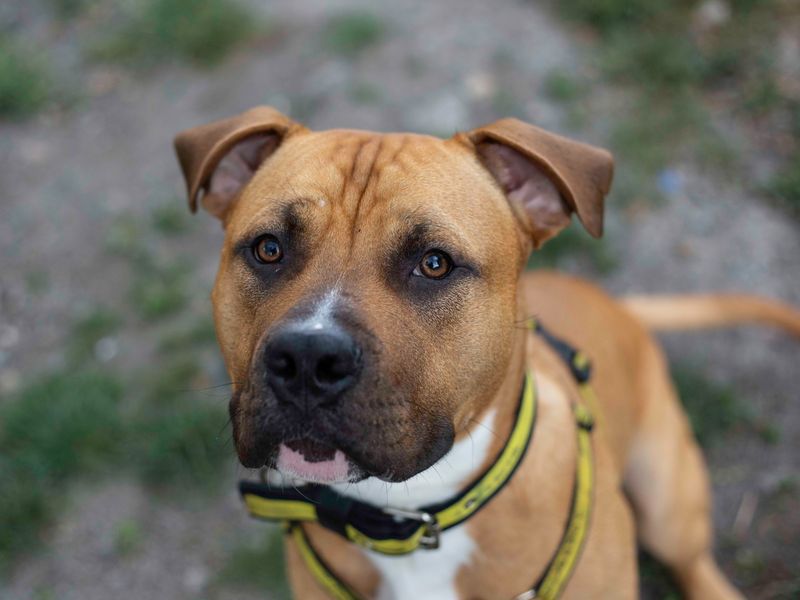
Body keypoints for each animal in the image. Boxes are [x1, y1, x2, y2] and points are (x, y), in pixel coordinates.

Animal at [173, 109, 800, 600]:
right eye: (268, 249)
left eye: (434, 263)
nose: (307, 359)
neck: (412, 521)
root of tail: (618, 306)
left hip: (668, 500)